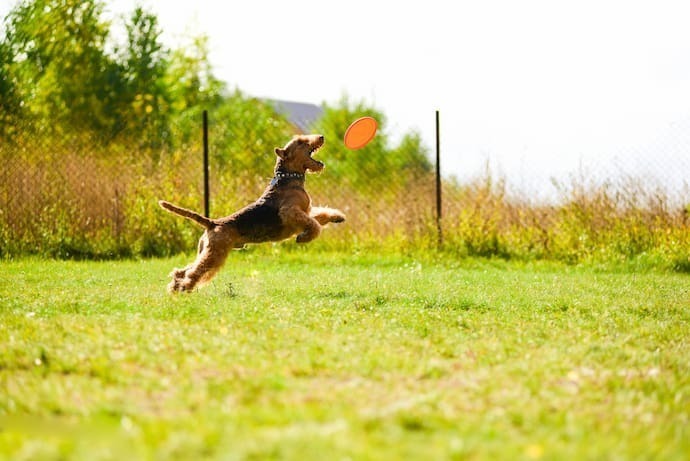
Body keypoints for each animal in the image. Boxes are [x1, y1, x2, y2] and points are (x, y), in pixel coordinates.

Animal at [157, 134, 342, 292]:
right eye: (301, 142)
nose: (321, 137)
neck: (288, 178)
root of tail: (212, 223)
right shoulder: (290, 212)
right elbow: (314, 225)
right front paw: (303, 237)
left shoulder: (306, 211)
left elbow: (319, 216)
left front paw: (338, 217)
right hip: (215, 254)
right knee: (192, 273)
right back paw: (184, 287)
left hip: (206, 251)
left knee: (182, 271)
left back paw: (175, 287)